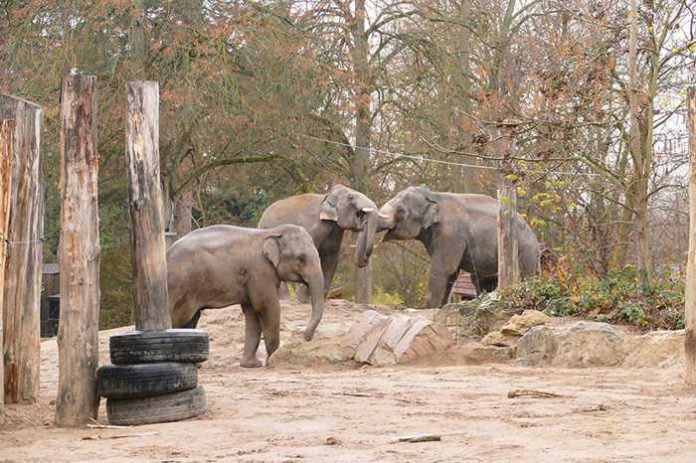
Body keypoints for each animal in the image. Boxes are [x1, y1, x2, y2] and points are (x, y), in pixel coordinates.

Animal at [167, 225, 324, 370]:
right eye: (301, 258)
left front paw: (251, 365)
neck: (271, 232)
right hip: (181, 287)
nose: (306, 337)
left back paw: (196, 365)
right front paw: (273, 361)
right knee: (179, 318)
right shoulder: (260, 271)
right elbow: (267, 306)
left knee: (191, 319)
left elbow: (252, 312)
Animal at [378, 185, 540, 308]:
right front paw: (440, 307)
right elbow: (451, 273)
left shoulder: (451, 233)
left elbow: (443, 269)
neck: (434, 195)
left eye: (400, 211)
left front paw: (428, 309)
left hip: (526, 250)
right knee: (481, 280)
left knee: (526, 275)